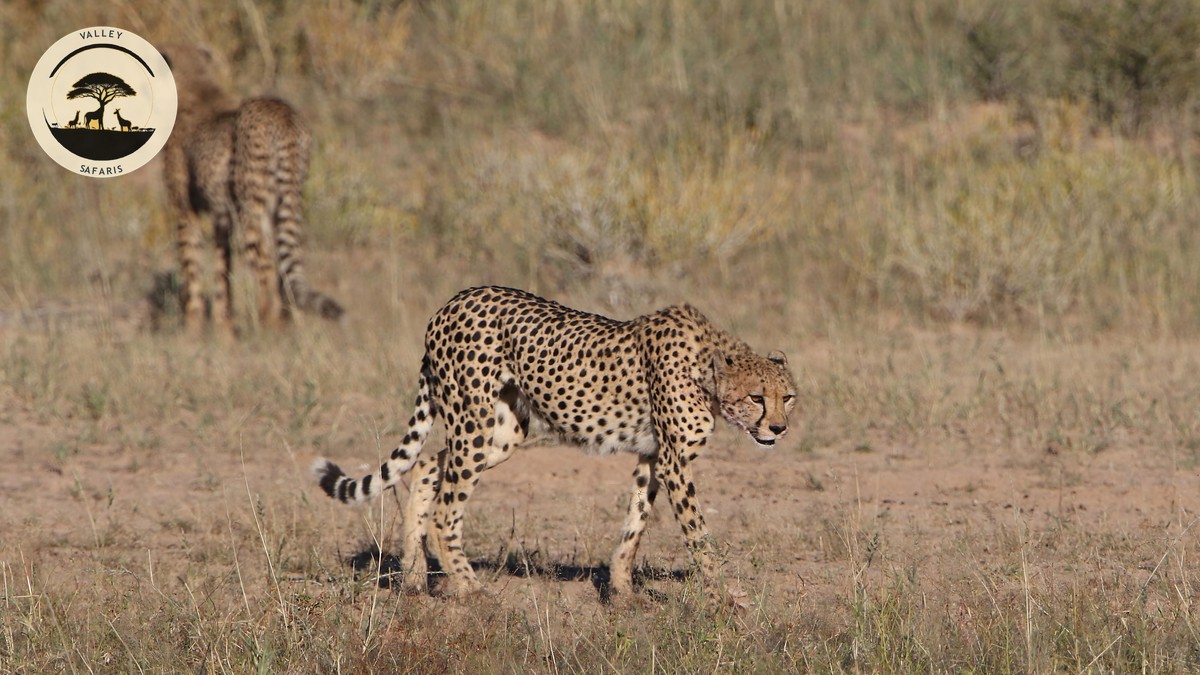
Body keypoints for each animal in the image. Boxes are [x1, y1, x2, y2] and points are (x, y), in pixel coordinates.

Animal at [160, 44, 343, 335]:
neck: (195, 83)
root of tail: (281, 110)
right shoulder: (221, 217)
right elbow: (222, 272)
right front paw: (223, 328)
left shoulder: (185, 210)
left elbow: (192, 268)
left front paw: (191, 330)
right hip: (284, 203)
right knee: (282, 266)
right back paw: (285, 324)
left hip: (251, 208)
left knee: (266, 267)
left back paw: (269, 327)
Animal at [312, 285, 797, 603]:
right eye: (757, 397)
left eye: (788, 396)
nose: (778, 429)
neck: (707, 371)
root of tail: (452, 301)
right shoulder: (675, 461)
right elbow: (699, 535)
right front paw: (724, 599)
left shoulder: (652, 457)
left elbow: (635, 523)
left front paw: (622, 591)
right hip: (474, 423)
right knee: (447, 509)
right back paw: (469, 589)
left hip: (502, 434)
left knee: (428, 465)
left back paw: (414, 575)